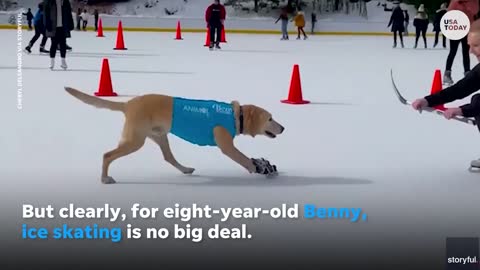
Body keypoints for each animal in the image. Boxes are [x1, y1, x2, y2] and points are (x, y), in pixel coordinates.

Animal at [62, 87, 284, 185]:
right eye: (270, 118)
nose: (283, 128)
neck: (236, 116)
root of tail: (128, 104)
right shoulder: (227, 146)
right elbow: (243, 158)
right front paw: (258, 167)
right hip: (135, 141)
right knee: (107, 155)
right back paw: (104, 178)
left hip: (159, 136)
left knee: (168, 157)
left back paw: (185, 169)